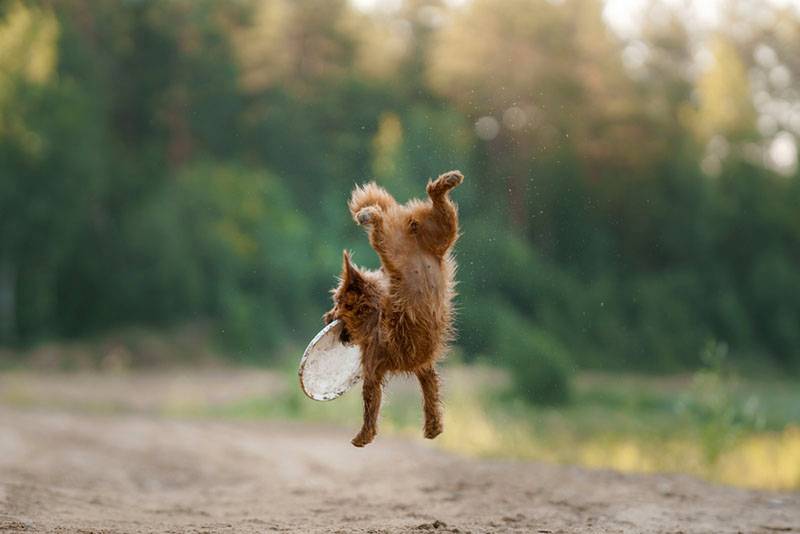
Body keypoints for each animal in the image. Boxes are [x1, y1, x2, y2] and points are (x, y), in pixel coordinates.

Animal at [324, 171, 466, 448]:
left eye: (337, 303)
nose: (326, 317)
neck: (374, 311)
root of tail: (410, 232)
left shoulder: (372, 366)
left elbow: (370, 401)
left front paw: (363, 435)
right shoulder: (424, 365)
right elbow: (431, 392)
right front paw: (434, 426)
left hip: (389, 241)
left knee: (381, 223)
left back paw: (369, 214)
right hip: (442, 233)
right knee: (438, 202)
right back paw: (448, 181)